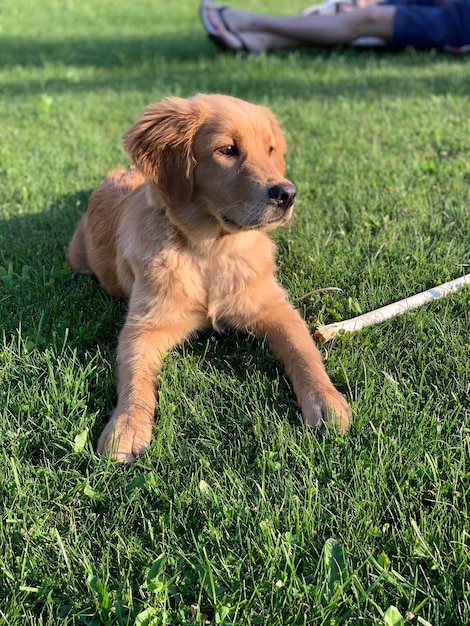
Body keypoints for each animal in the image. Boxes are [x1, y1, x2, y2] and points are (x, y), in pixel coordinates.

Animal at [68, 94, 350, 464]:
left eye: (270, 149)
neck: (211, 250)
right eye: (227, 149)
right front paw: (126, 424)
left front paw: (326, 399)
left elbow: (303, 350)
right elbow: (134, 374)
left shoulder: (274, 307)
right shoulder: (144, 326)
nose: (287, 194)